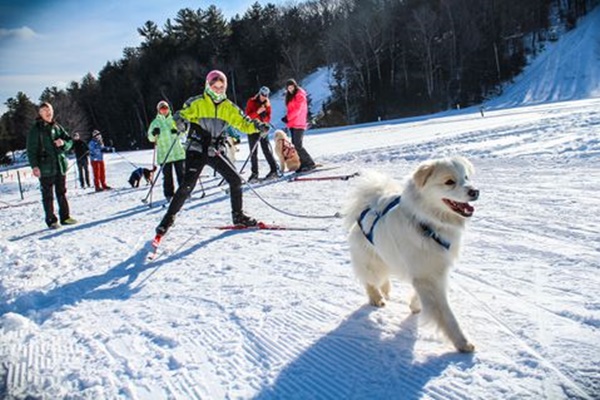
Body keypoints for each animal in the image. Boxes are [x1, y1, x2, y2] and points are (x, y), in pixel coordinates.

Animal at [344, 156, 480, 354]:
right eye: (449, 182)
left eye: (466, 177)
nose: (475, 191)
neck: (427, 225)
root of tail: (366, 209)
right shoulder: (428, 276)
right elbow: (447, 315)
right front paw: (462, 343)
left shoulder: (431, 271)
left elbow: (420, 294)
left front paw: (415, 306)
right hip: (372, 263)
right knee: (369, 280)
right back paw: (377, 299)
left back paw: (386, 291)